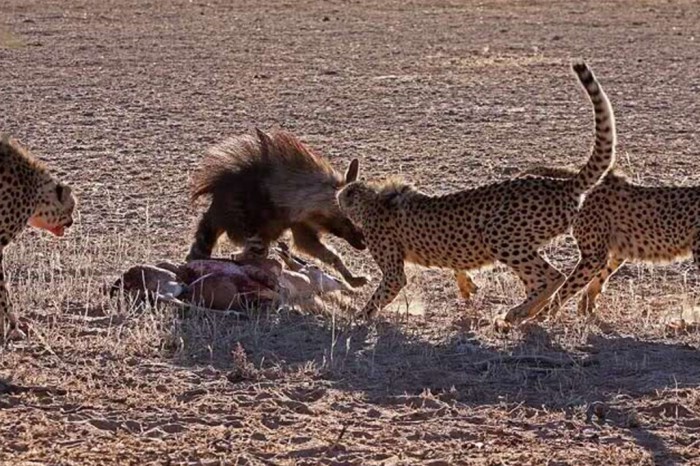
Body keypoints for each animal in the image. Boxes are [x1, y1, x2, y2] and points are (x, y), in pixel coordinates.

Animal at [337, 62, 617, 324]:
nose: (338, 202)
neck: (370, 199)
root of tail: (559, 183)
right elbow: (456, 264)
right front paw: (466, 285)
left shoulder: (392, 267)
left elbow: (384, 290)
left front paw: (358, 317)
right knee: (538, 281)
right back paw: (525, 313)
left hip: (500, 235)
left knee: (553, 276)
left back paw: (515, 313)